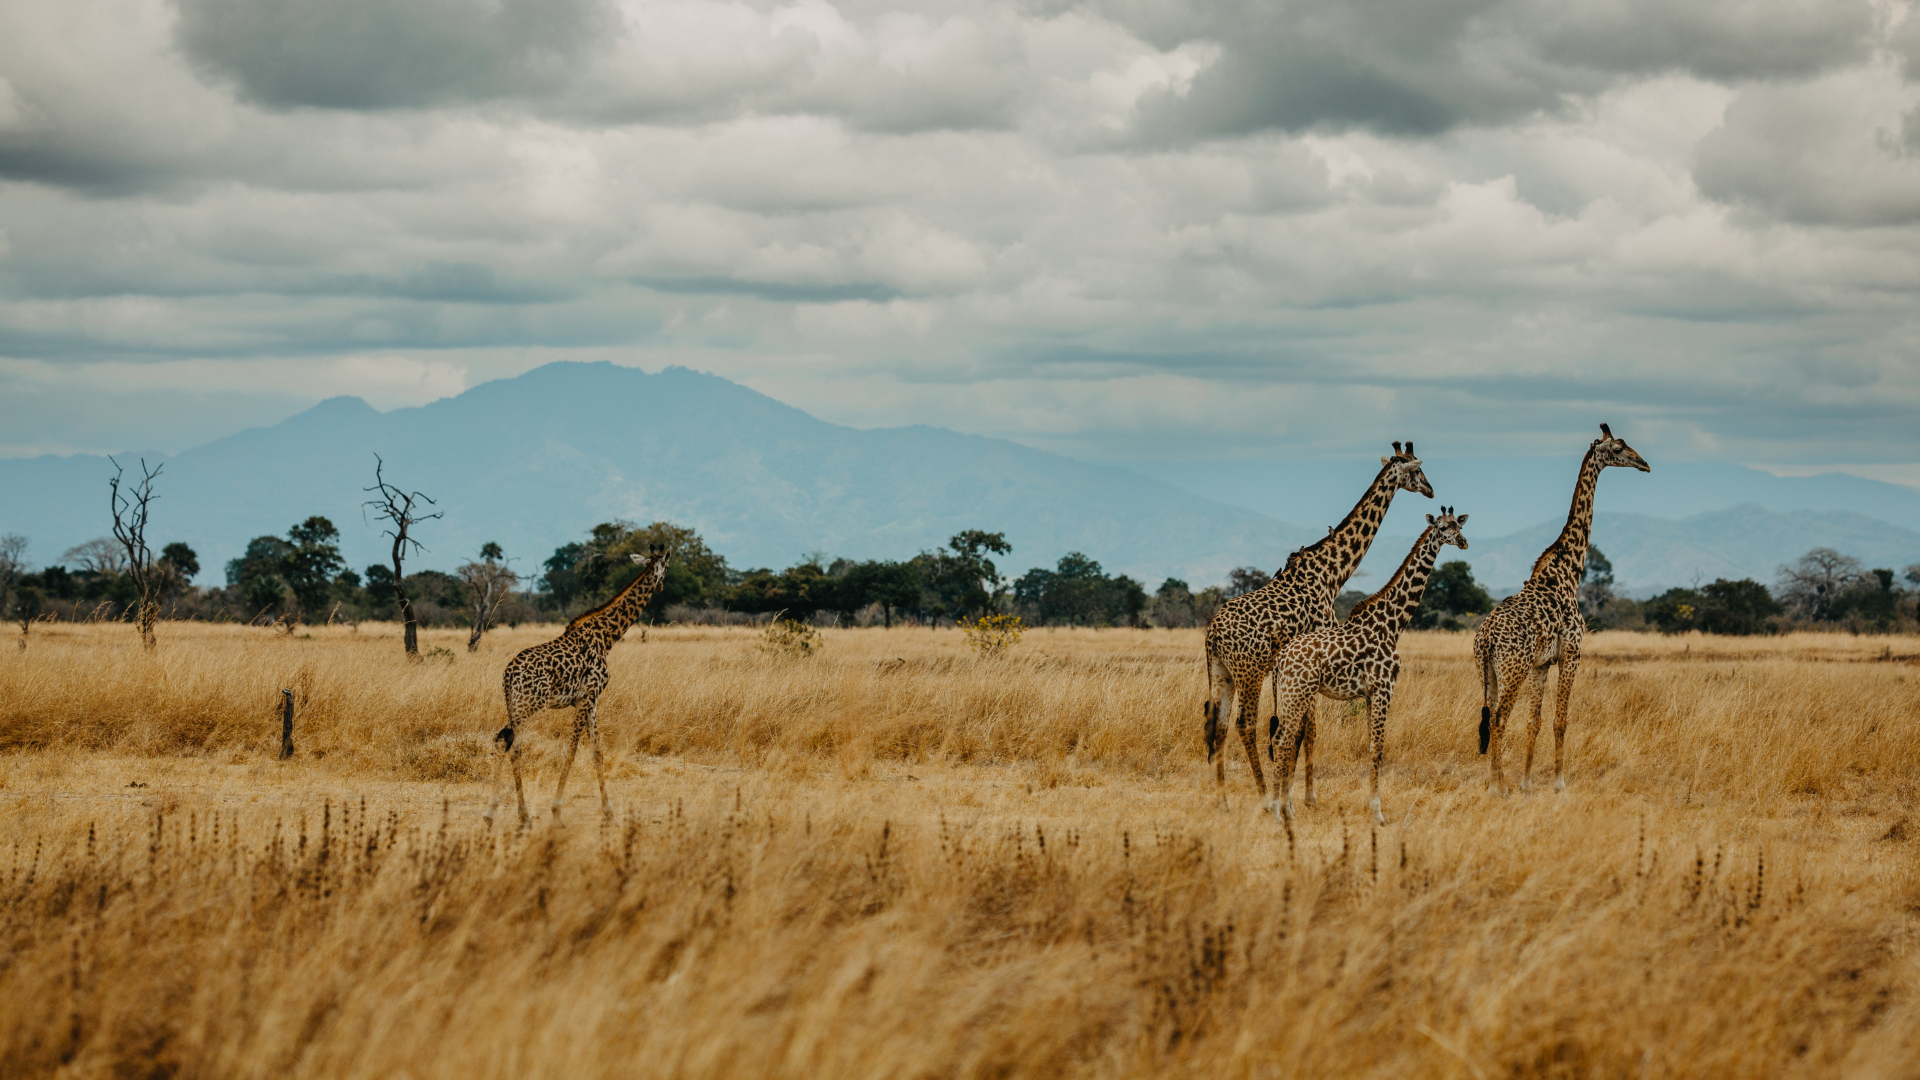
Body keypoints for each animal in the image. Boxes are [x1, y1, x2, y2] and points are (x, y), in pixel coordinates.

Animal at [487, 545, 675, 822]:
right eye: (668, 567)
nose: (662, 586)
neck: (607, 637)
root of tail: (508, 674)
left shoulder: (590, 701)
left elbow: (597, 751)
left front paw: (608, 809)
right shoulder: (588, 696)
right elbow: (572, 750)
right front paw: (557, 808)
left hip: (514, 705)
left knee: (502, 740)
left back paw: (491, 811)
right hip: (528, 705)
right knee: (515, 746)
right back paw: (523, 814)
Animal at [1205, 440, 1436, 799]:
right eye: (1418, 470)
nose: (1431, 490)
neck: (1334, 570)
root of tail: (1213, 633)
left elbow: (1297, 730)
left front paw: (1293, 789)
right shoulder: (1315, 651)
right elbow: (1309, 730)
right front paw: (1307, 796)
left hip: (1222, 671)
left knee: (1221, 725)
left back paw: (1223, 797)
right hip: (1250, 669)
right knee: (1245, 723)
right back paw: (1263, 792)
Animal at [1274, 507, 1466, 818]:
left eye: (1458, 526)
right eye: (1442, 527)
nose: (1462, 542)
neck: (1393, 624)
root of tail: (1281, 657)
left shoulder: (1368, 694)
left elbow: (1369, 747)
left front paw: (1372, 807)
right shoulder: (1383, 689)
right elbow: (1378, 748)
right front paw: (1378, 812)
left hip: (1293, 694)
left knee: (1287, 740)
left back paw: (1284, 807)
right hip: (1296, 693)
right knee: (1282, 740)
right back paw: (1278, 809)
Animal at [1466, 420, 1651, 791]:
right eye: (1619, 448)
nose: (1644, 464)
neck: (1569, 572)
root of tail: (1487, 638)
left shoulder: (1542, 664)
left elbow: (1534, 721)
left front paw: (1527, 784)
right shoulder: (1571, 654)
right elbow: (1560, 720)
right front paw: (1559, 784)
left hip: (1487, 671)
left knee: (1490, 718)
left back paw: (1497, 782)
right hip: (1513, 669)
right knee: (1499, 719)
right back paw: (1497, 786)